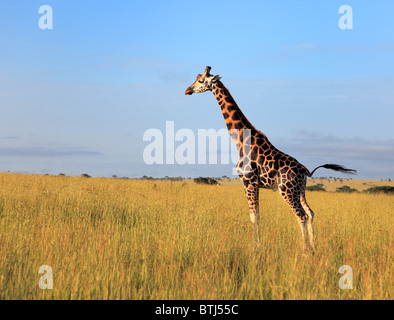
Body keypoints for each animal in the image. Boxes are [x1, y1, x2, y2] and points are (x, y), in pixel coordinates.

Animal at [185, 67, 358, 252]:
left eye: (201, 80)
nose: (188, 90)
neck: (241, 141)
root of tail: (305, 170)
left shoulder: (248, 181)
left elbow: (254, 216)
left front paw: (256, 248)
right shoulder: (254, 184)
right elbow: (257, 215)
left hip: (287, 191)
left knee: (301, 216)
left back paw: (305, 250)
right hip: (300, 190)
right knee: (310, 213)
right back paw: (314, 248)